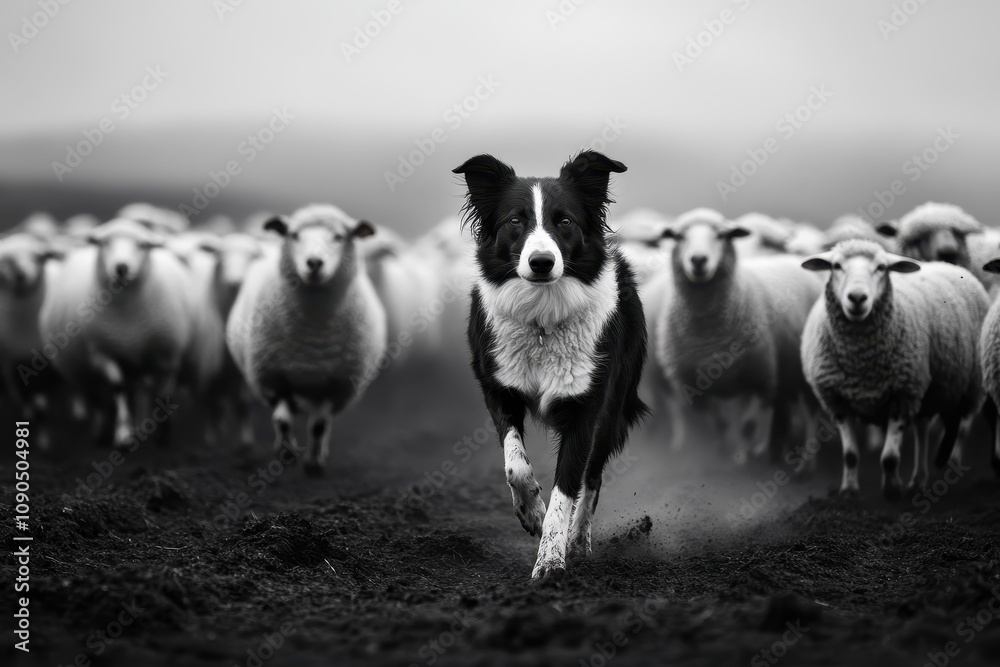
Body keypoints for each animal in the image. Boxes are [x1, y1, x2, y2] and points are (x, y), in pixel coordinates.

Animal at [39, 218, 196, 448]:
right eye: (104, 243)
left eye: (143, 245)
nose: (121, 267)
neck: (128, 325)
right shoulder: (102, 353)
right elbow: (117, 388)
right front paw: (123, 435)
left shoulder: (168, 357)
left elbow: (163, 393)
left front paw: (163, 435)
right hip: (83, 372)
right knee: (98, 398)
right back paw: (101, 430)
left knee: (139, 391)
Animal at [226, 204, 387, 475]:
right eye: (294, 235)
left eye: (339, 236)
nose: (314, 262)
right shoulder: (274, 379)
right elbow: (281, 420)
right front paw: (287, 453)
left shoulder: (333, 386)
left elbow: (319, 426)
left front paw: (313, 464)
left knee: (323, 423)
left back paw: (320, 454)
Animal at [654, 208, 824, 463]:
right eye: (679, 236)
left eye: (721, 235)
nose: (698, 260)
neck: (709, 337)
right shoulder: (698, 389)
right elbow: (722, 424)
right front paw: (726, 452)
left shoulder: (761, 379)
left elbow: (747, 425)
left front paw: (743, 457)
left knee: (808, 412)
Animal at [801, 239, 989, 499]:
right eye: (836, 266)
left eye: (881, 267)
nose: (857, 297)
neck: (861, 362)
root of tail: (945, 263)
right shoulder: (838, 401)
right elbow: (850, 455)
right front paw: (848, 491)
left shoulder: (902, 395)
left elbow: (889, 457)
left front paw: (891, 490)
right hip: (928, 393)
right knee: (922, 430)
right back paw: (918, 480)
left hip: (970, 386)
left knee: (960, 428)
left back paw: (951, 465)